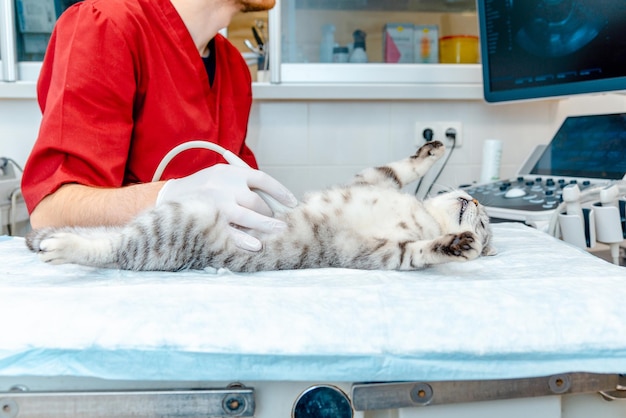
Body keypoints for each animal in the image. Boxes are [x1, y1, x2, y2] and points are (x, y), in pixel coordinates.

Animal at [26, 140, 492, 272]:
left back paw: (57, 244)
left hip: (171, 228)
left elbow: (418, 252)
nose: (476, 198)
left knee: (114, 249)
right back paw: (52, 242)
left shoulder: (381, 254)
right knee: (112, 245)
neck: (424, 215)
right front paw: (430, 152)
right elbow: (399, 168)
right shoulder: (372, 179)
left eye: (487, 227)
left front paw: (455, 244)